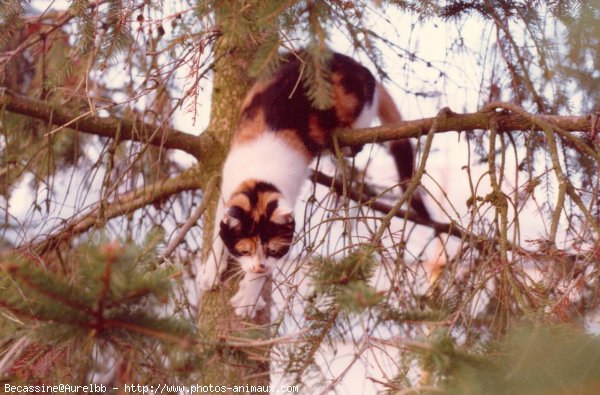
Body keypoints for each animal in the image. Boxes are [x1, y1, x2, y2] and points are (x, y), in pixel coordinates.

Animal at [199, 51, 428, 318]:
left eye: (273, 250)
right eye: (244, 250)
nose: (258, 266)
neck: (258, 176)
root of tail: (355, 64)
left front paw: (248, 297)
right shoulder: (227, 190)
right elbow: (218, 233)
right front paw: (211, 271)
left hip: (361, 112)